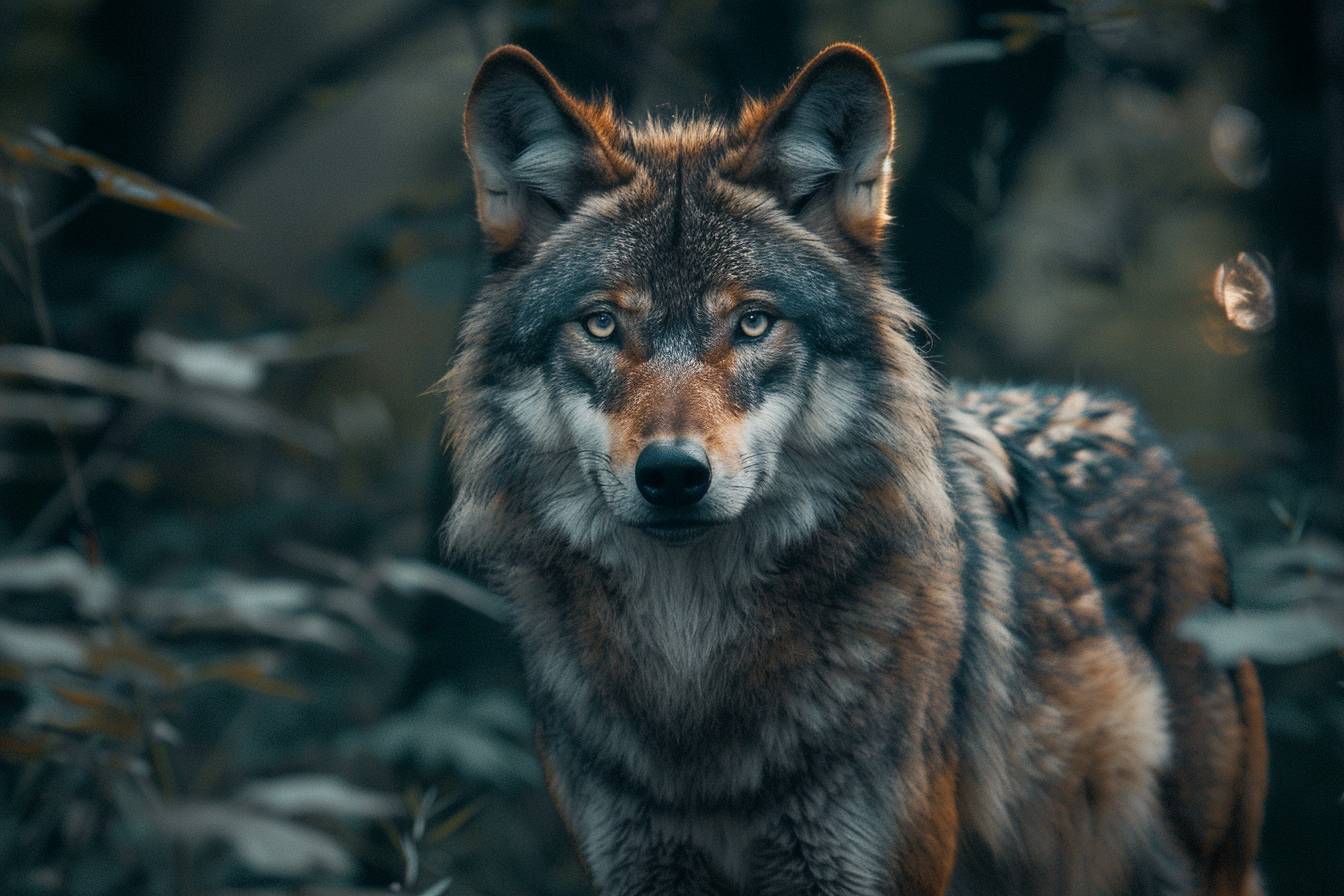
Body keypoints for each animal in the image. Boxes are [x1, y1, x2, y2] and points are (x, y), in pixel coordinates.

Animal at [441, 43, 1267, 895]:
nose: (671, 473)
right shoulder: (639, 867)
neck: (692, 678)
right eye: (602, 324)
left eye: (754, 322)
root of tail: (1136, 430)